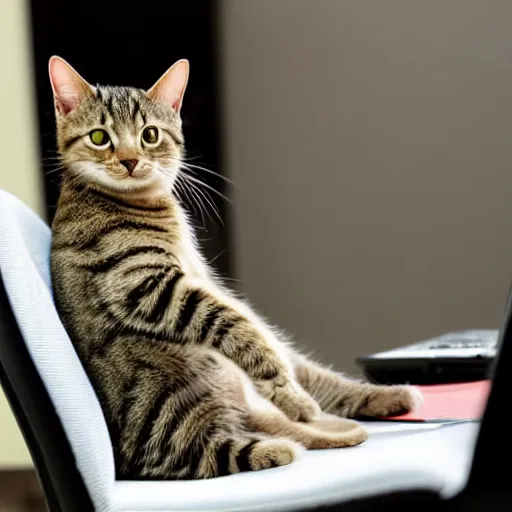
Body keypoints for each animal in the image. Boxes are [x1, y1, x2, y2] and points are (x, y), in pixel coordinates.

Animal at [50, 57, 422, 480]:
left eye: (149, 135)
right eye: (99, 137)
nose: (129, 161)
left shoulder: (200, 284)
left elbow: (266, 340)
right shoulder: (146, 284)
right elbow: (244, 331)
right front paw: (287, 397)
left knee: (313, 385)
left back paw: (379, 399)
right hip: (173, 406)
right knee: (212, 450)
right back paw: (280, 444)